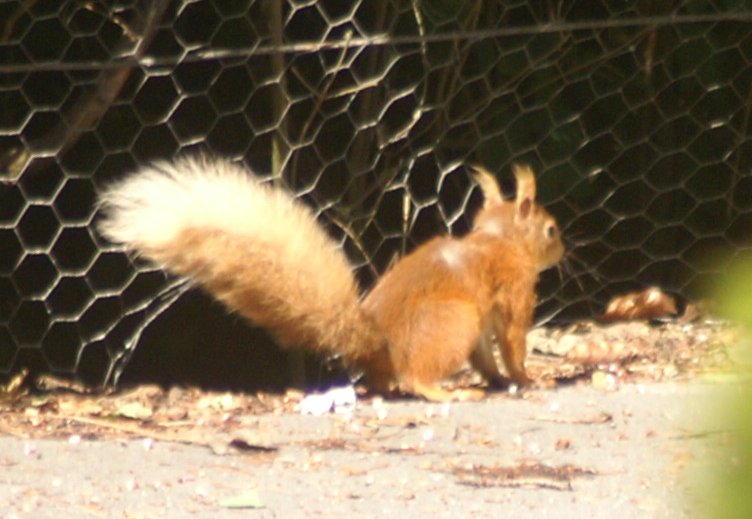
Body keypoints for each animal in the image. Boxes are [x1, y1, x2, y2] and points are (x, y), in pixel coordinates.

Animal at [98, 155, 564, 401]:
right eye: (550, 230)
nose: (563, 250)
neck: (498, 239)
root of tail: (376, 343)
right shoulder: (514, 292)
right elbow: (513, 340)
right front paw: (525, 378)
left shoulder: (486, 322)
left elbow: (487, 355)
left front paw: (500, 379)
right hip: (454, 320)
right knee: (415, 377)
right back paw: (447, 392)